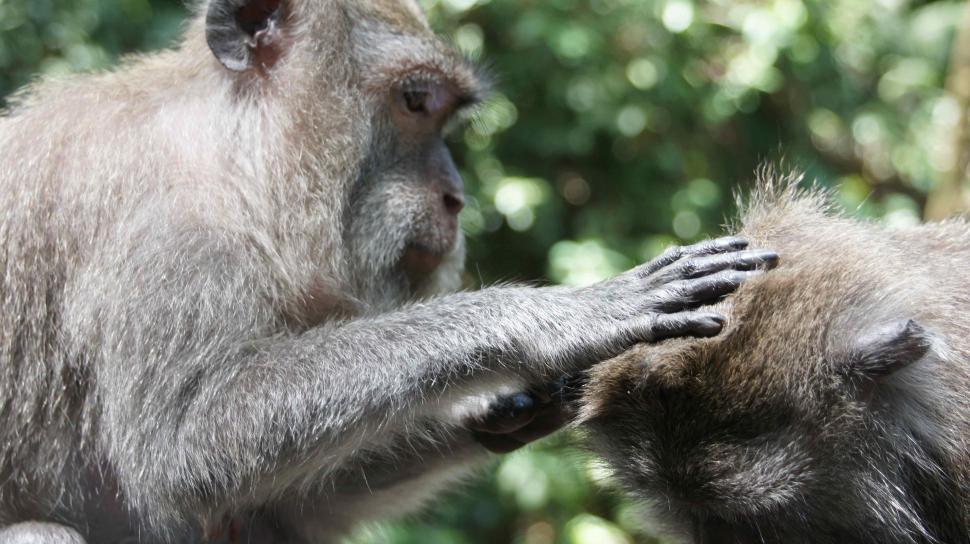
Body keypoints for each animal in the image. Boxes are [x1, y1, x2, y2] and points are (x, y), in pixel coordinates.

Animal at [0, 1, 778, 542]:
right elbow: (183, 445)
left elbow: (283, 505)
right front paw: (563, 316)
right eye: (415, 101)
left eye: (445, 116)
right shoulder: (165, 232)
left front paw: (510, 404)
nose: (456, 197)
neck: (235, 156)